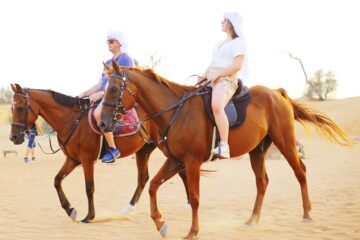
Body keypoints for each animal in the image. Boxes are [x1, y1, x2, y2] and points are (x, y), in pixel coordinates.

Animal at [7, 84, 188, 223]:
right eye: (12, 108)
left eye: (20, 108)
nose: (13, 137)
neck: (71, 120)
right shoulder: (72, 160)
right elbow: (57, 180)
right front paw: (70, 209)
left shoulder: (87, 160)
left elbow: (89, 187)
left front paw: (89, 216)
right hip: (144, 150)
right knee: (144, 178)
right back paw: (128, 209)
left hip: (165, 147)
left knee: (182, 171)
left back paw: (188, 203)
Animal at [99, 61, 354, 239]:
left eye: (113, 89)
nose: (102, 124)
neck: (175, 111)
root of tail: (277, 92)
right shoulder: (175, 160)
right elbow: (153, 186)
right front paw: (161, 224)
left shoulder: (191, 162)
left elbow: (195, 198)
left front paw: (192, 232)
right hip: (257, 150)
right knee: (262, 182)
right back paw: (252, 220)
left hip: (285, 142)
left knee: (300, 172)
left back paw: (307, 214)